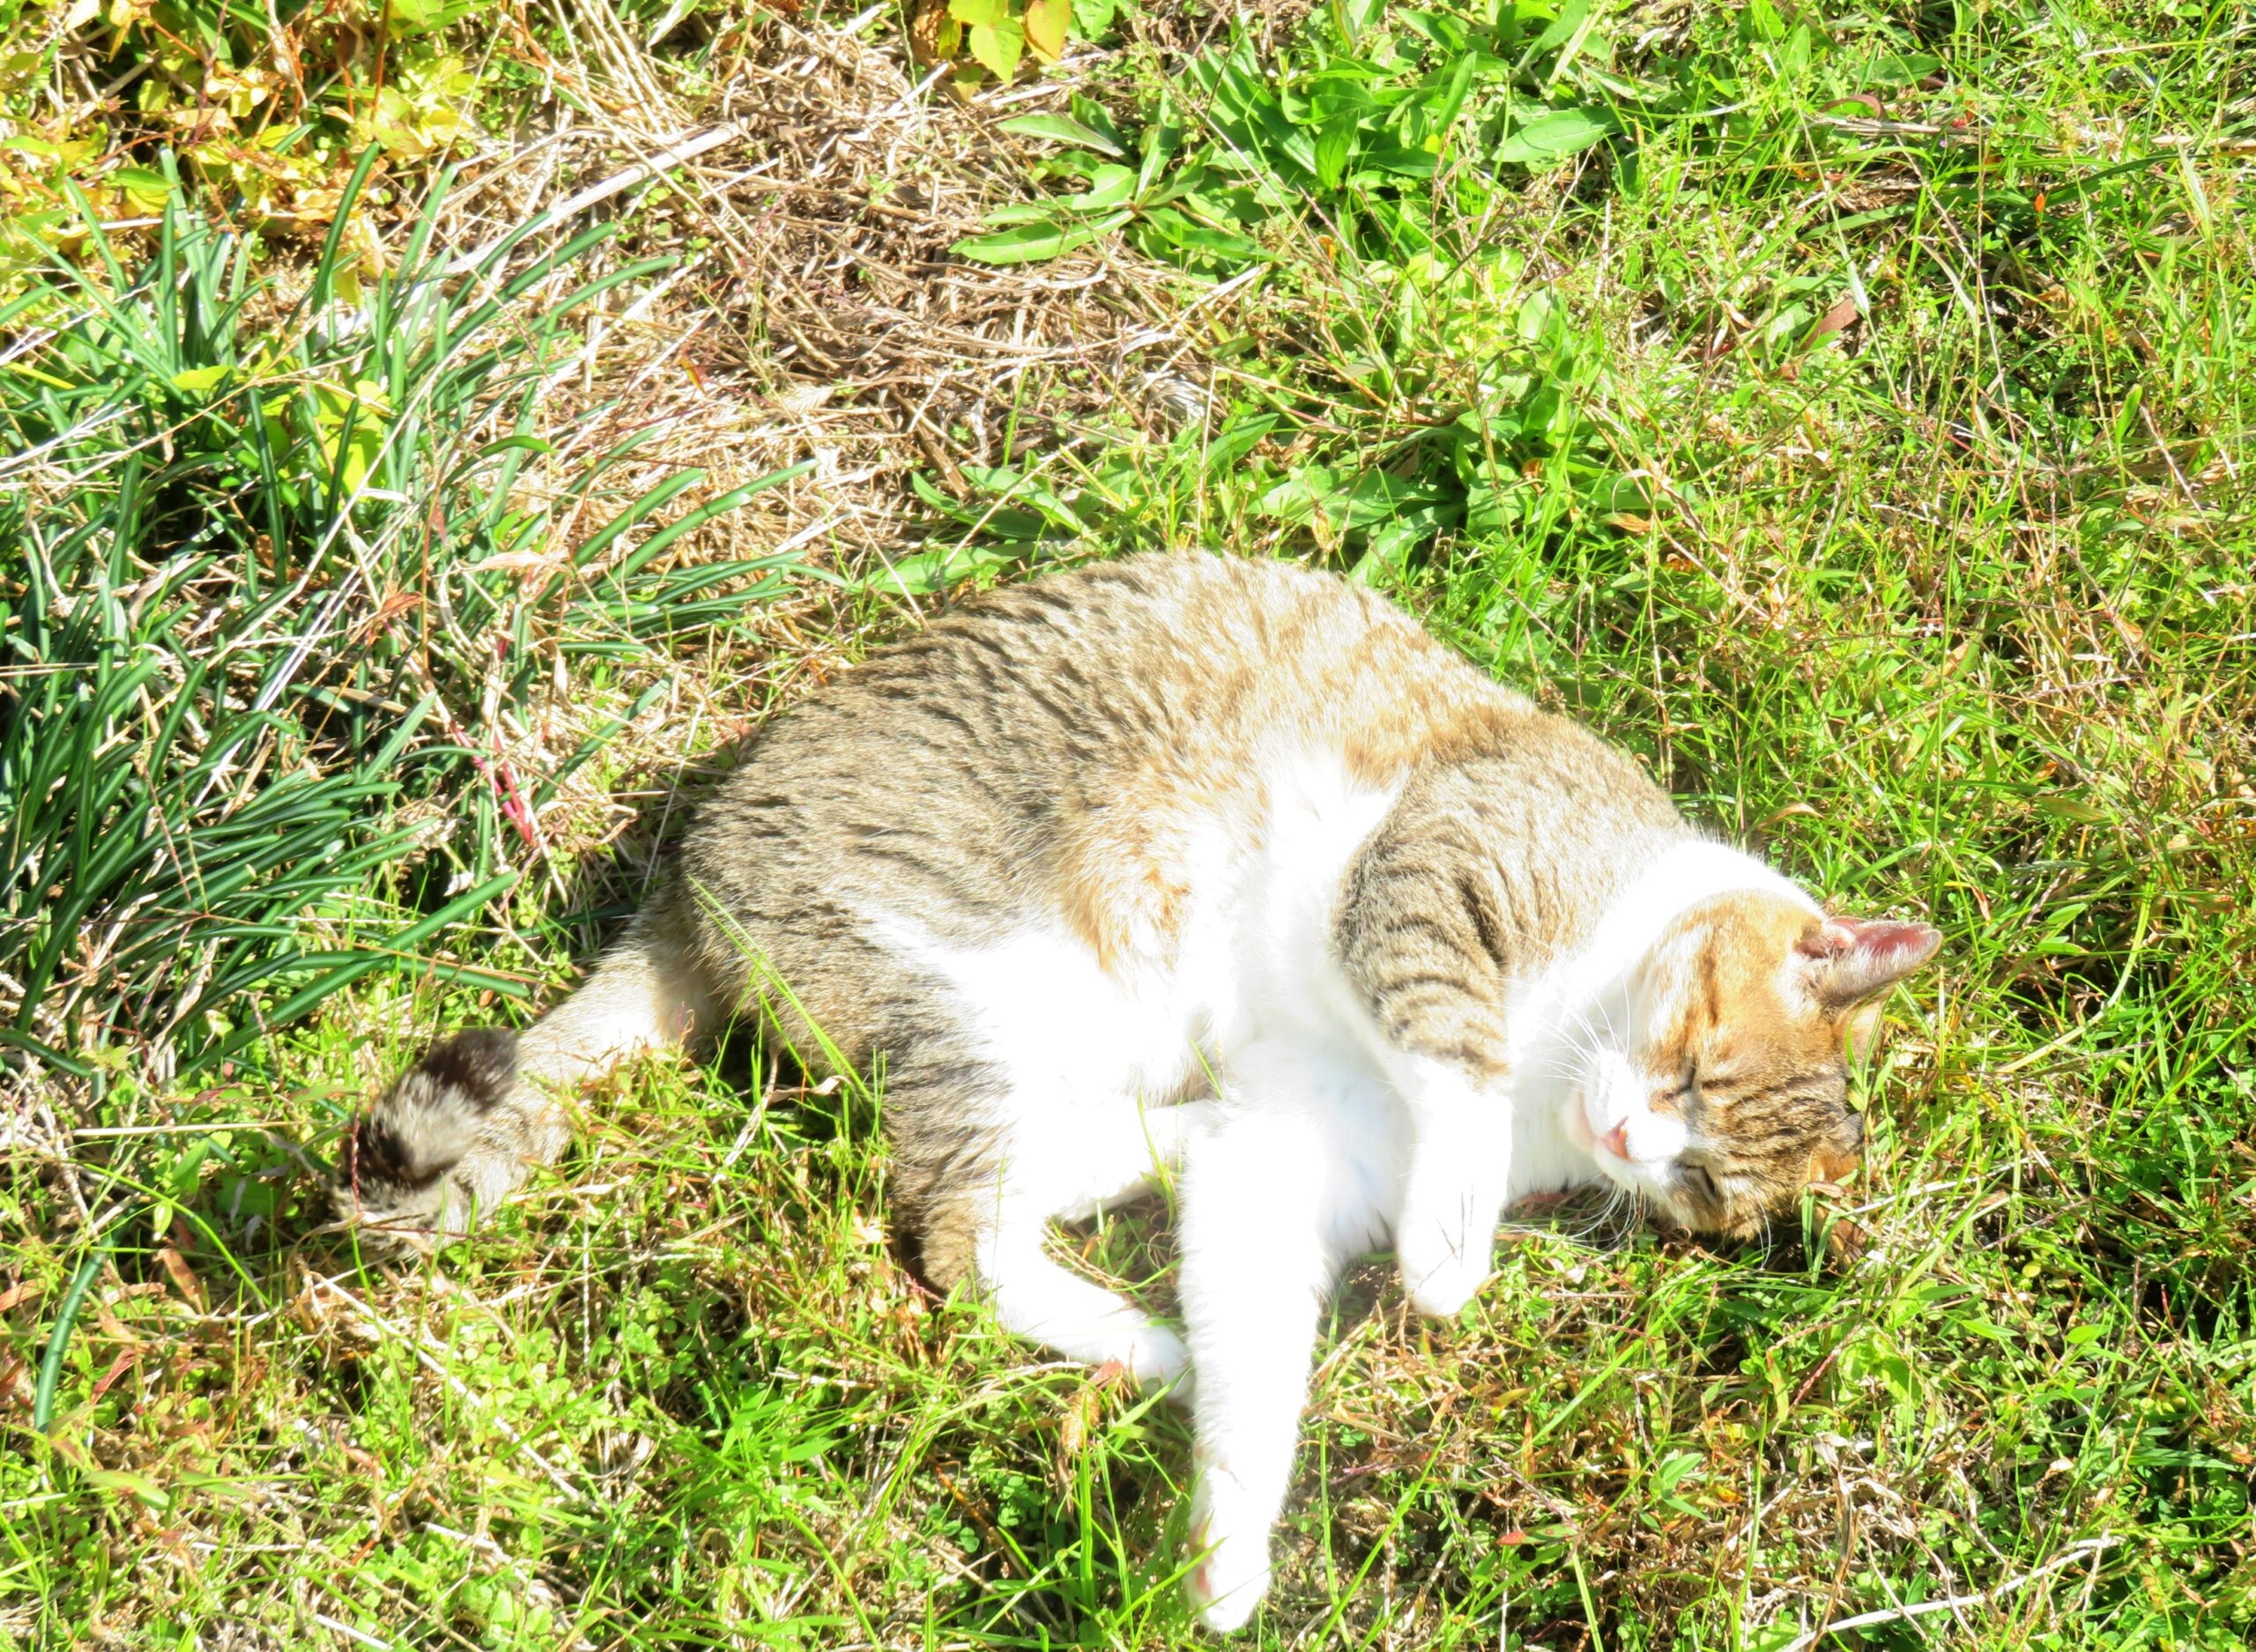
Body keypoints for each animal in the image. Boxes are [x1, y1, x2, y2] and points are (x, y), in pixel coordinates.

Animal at [333, 551, 1940, 1625]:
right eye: (1690, 1064)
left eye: (1701, 1180)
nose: (1626, 1132)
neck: (1567, 1036)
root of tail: (687, 872)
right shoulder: (1435, 873)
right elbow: (1454, 1057)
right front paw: (1452, 1250)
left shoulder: (1304, 1155)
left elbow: (1261, 1373)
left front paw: (1231, 1561)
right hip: (974, 978)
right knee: (953, 1229)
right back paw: (1143, 1336)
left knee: (1032, 1183)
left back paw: (1151, 1268)